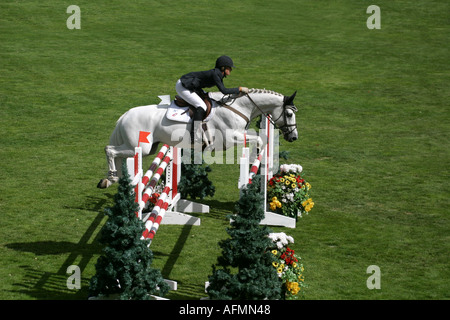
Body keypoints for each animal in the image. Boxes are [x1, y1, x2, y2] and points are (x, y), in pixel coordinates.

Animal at [98, 87, 298, 189]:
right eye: (289, 114)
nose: (294, 137)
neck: (238, 107)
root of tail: (125, 115)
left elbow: (259, 137)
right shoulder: (230, 139)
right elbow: (259, 139)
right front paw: (255, 157)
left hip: (146, 147)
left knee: (119, 155)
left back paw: (116, 180)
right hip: (141, 147)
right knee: (110, 151)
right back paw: (112, 177)